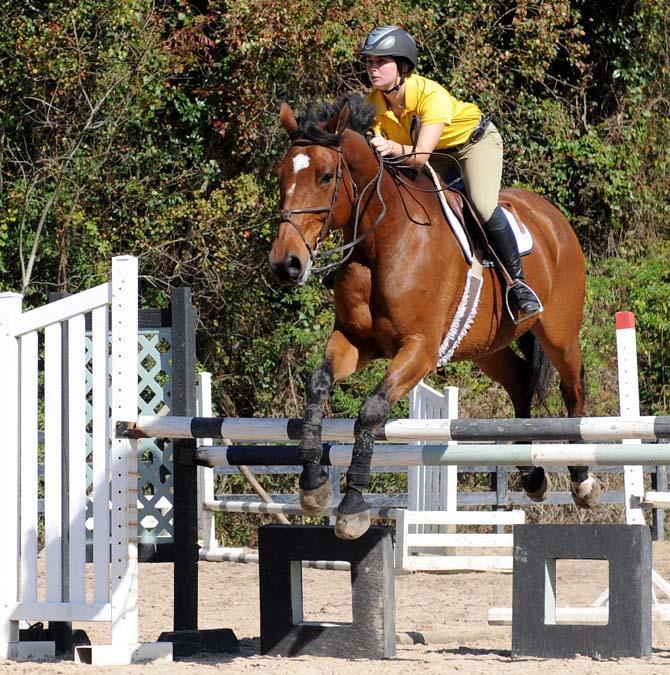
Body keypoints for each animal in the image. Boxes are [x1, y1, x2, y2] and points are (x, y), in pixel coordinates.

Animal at [268, 95, 600, 540]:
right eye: (282, 176)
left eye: (325, 176)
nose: (285, 264)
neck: (381, 241)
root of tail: (552, 215)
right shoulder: (355, 342)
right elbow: (317, 385)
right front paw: (313, 486)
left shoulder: (420, 350)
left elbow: (371, 410)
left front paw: (352, 506)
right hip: (485, 346)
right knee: (518, 382)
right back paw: (531, 475)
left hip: (559, 331)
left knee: (573, 386)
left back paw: (582, 480)